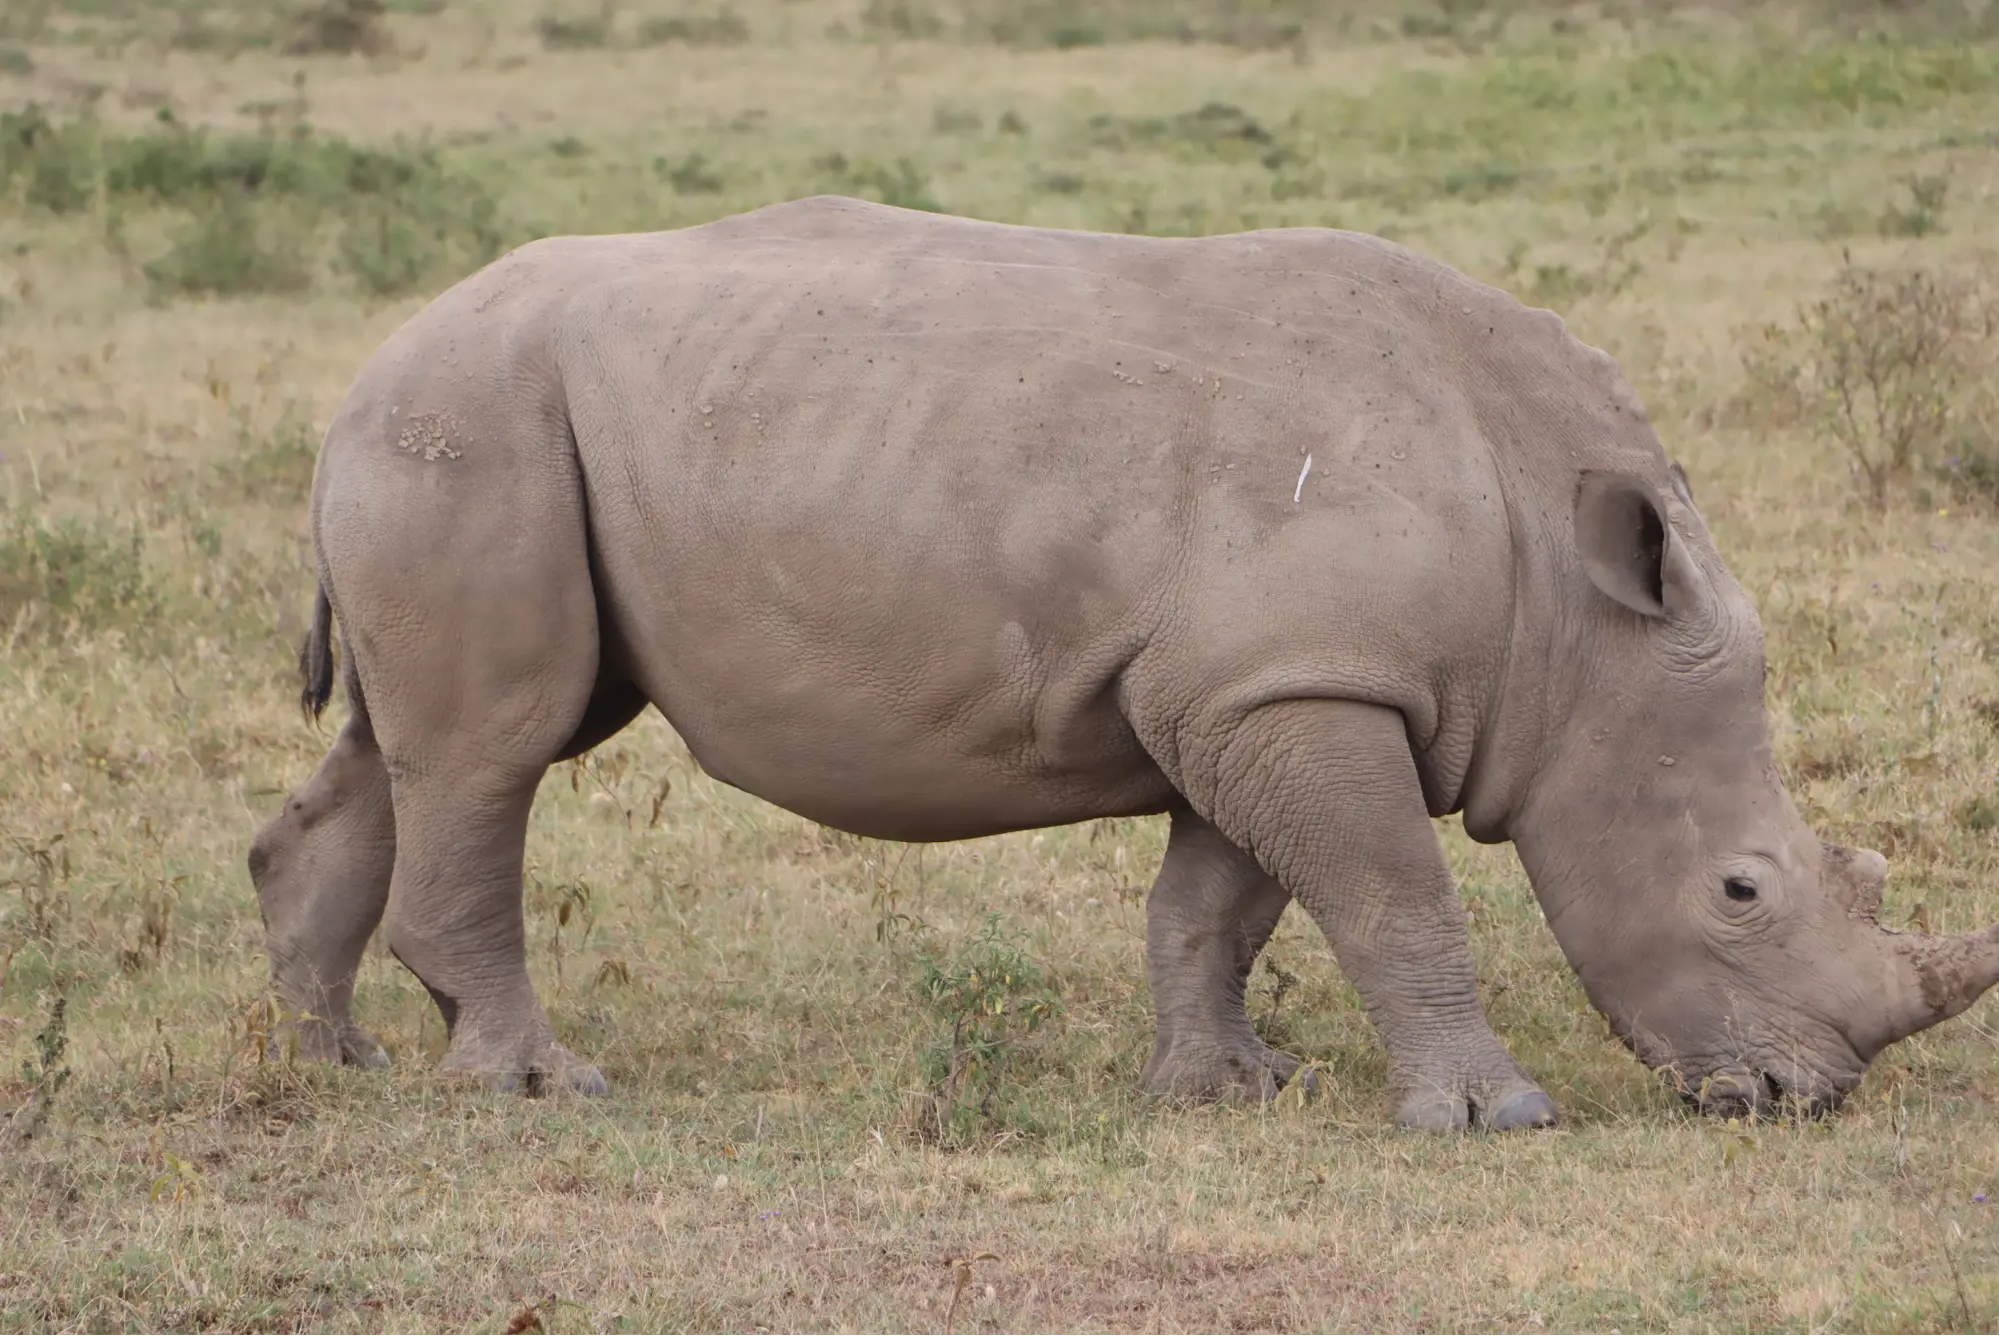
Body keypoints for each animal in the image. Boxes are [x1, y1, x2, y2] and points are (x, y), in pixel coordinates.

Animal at [249, 196, 1999, 1128]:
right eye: (1739, 891)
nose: (1799, 1099)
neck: (1568, 622)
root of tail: (363, 370)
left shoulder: (1247, 684)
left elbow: (1217, 905)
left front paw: (1225, 1090)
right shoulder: (1303, 682)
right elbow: (1392, 895)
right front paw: (1486, 1114)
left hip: (472, 427)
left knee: (411, 749)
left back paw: (329, 1057)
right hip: (470, 423)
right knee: (498, 749)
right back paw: (541, 1087)